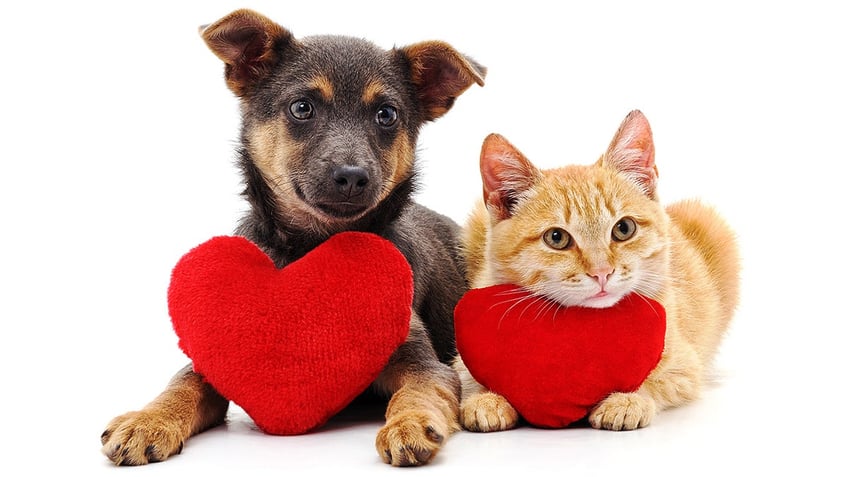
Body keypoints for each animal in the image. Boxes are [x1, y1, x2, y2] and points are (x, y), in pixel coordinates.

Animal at [99, 9, 484, 466]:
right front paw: (147, 420)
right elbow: (181, 384)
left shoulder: (425, 362)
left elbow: (417, 393)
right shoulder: (212, 355)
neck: (314, 244)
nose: (352, 177)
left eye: (387, 115)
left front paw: (408, 423)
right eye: (302, 108)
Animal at [454, 110, 740, 432]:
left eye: (624, 228)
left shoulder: (685, 366)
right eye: (556, 238)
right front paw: (486, 399)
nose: (602, 272)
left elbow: (656, 378)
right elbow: (466, 378)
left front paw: (627, 401)